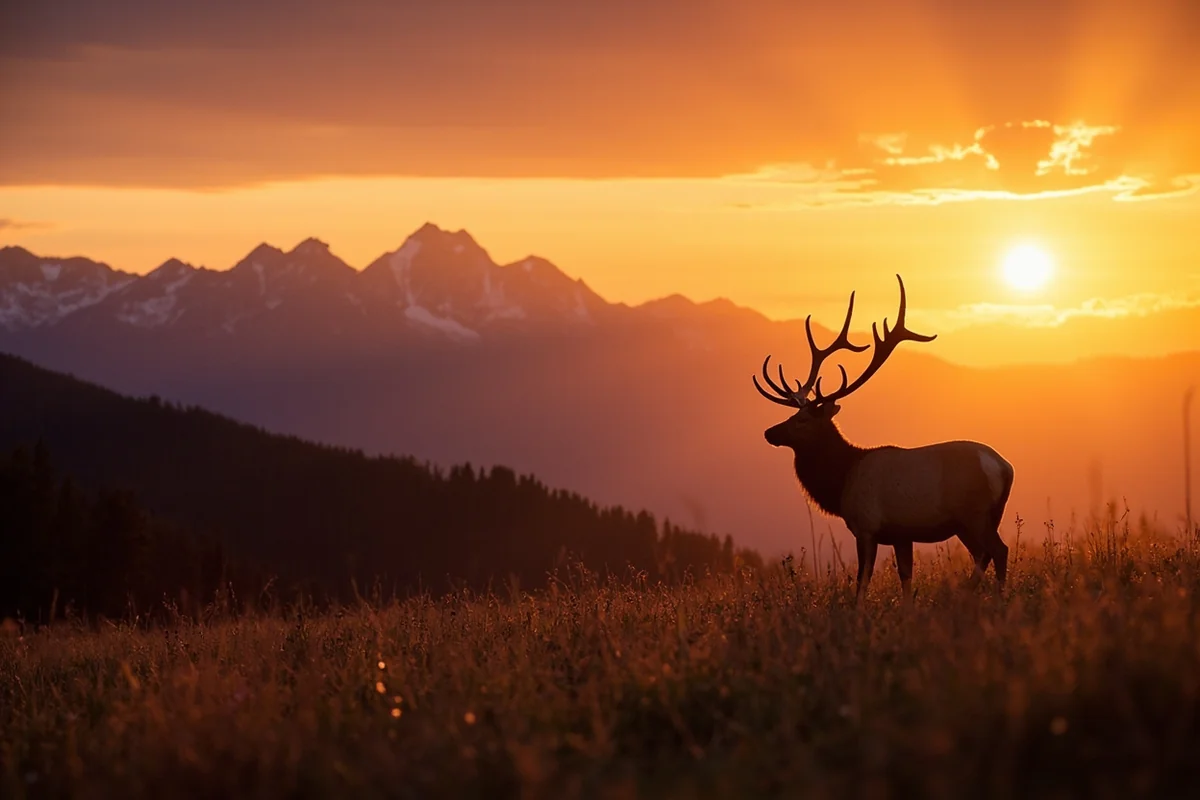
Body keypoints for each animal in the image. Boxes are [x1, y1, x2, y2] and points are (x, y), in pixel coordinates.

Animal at [753, 274, 1013, 598]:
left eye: (802, 420)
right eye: (791, 415)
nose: (769, 432)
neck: (841, 481)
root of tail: (1004, 467)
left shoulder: (866, 526)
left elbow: (861, 581)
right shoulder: (902, 534)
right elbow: (906, 579)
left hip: (974, 513)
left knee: (998, 550)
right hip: (981, 518)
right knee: (985, 553)